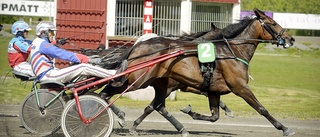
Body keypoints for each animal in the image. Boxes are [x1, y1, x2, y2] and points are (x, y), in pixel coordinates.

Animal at [100, 8, 296, 136]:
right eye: (273, 23)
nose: (291, 39)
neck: (233, 51)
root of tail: (138, 46)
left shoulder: (213, 90)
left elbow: (214, 116)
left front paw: (191, 112)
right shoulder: (240, 87)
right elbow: (261, 108)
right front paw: (284, 128)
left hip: (154, 82)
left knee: (148, 103)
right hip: (138, 80)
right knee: (107, 92)